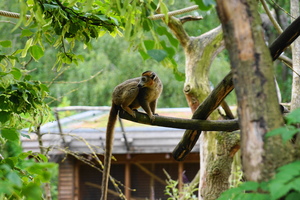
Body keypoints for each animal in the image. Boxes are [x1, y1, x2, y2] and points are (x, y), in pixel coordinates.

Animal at [100, 70, 162, 200]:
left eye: (143, 79)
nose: (140, 83)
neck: (152, 86)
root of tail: (113, 97)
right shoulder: (143, 92)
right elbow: (143, 100)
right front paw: (150, 114)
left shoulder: (159, 88)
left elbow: (153, 101)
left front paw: (153, 113)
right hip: (119, 95)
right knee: (134, 88)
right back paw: (126, 107)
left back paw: (133, 108)